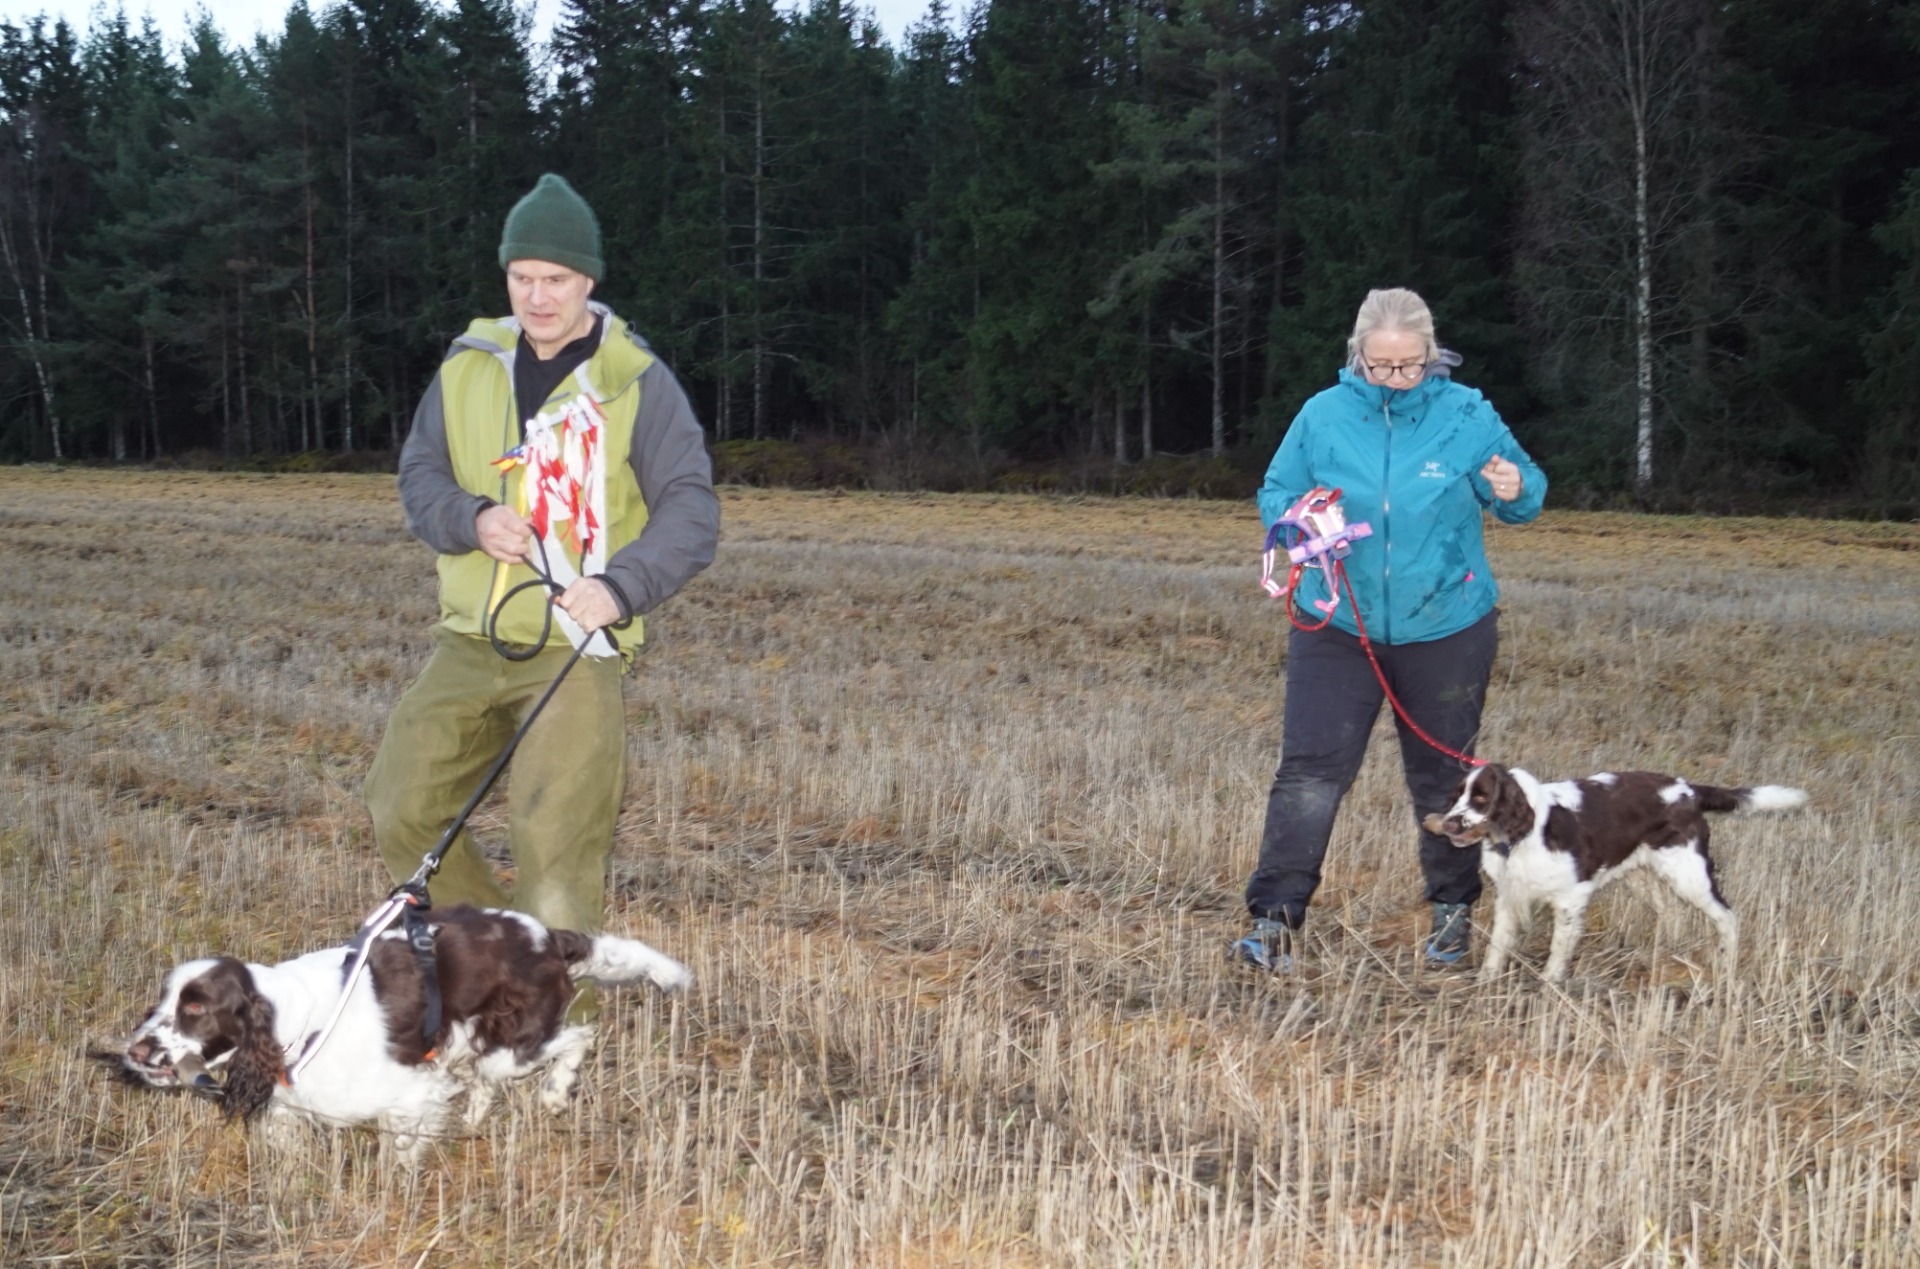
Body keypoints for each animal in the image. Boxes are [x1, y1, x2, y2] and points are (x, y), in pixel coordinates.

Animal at [121, 904, 691, 1162]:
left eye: (196, 1007)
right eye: (163, 1001)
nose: (135, 1049)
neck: (298, 1022)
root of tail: (546, 935)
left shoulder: (410, 1093)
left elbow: (402, 1153)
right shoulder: (289, 1109)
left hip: (511, 1047)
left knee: (578, 1037)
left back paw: (554, 1093)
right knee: (487, 1083)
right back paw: (474, 1122)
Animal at [1425, 763, 1808, 984]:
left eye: (1481, 798)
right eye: (1457, 796)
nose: (1448, 823)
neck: (1525, 833)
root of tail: (1687, 789)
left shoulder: (1571, 897)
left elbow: (1560, 945)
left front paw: (1549, 982)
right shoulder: (1509, 893)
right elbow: (1498, 943)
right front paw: (1486, 980)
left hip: (1689, 872)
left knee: (1727, 915)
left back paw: (1726, 964)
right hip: (1640, 872)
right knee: (1670, 910)